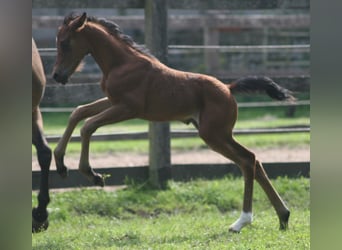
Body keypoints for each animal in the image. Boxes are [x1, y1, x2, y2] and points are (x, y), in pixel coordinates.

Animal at [52, 12, 292, 232]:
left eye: (64, 42)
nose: (56, 76)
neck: (121, 64)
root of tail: (228, 88)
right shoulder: (113, 101)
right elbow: (78, 113)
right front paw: (61, 164)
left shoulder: (128, 108)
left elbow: (88, 125)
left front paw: (92, 174)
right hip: (217, 134)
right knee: (254, 160)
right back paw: (283, 216)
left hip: (214, 134)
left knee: (247, 160)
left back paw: (242, 221)